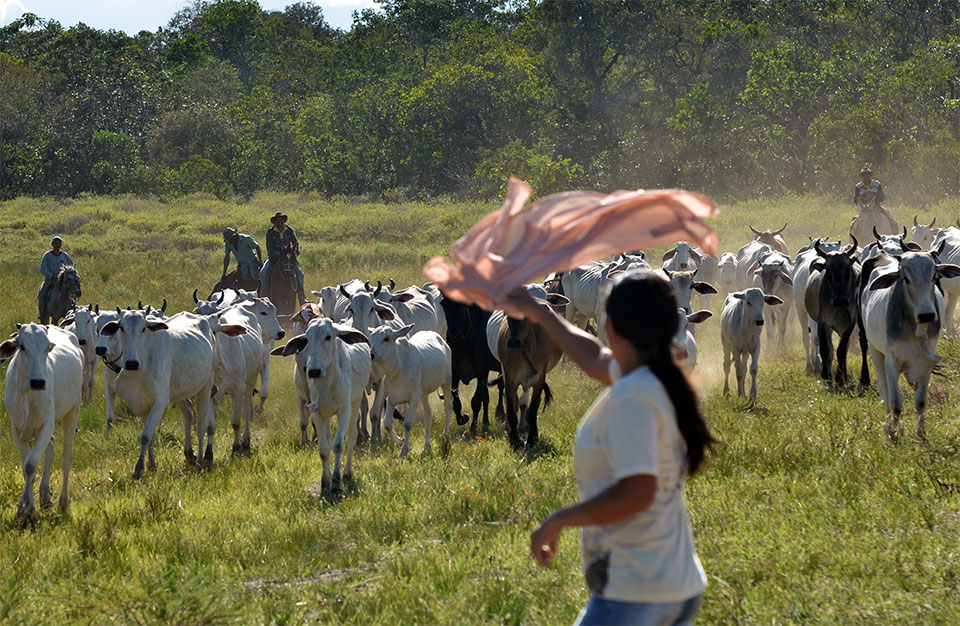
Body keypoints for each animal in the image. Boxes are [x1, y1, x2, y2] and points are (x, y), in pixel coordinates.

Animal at [0, 324, 82, 520]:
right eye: (22, 347)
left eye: (47, 348)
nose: (38, 382)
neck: (28, 395)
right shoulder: (16, 429)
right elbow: (25, 466)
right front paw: (25, 506)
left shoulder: (47, 425)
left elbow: (31, 464)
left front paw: (27, 507)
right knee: (50, 447)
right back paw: (45, 496)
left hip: (72, 411)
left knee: (66, 457)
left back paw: (63, 501)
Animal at [276, 316, 374, 488]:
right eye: (307, 339)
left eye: (328, 337)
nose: (313, 371)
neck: (328, 381)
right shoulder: (317, 412)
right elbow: (324, 448)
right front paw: (325, 480)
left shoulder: (344, 410)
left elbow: (338, 445)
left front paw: (337, 479)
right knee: (328, 439)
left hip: (355, 401)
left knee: (351, 437)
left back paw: (347, 472)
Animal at [864, 249, 960, 438]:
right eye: (906, 279)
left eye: (934, 276)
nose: (927, 315)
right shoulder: (891, 360)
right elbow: (895, 404)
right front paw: (894, 434)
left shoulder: (927, 361)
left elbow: (921, 402)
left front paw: (921, 435)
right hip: (874, 350)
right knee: (884, 389)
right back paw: (888, 427)